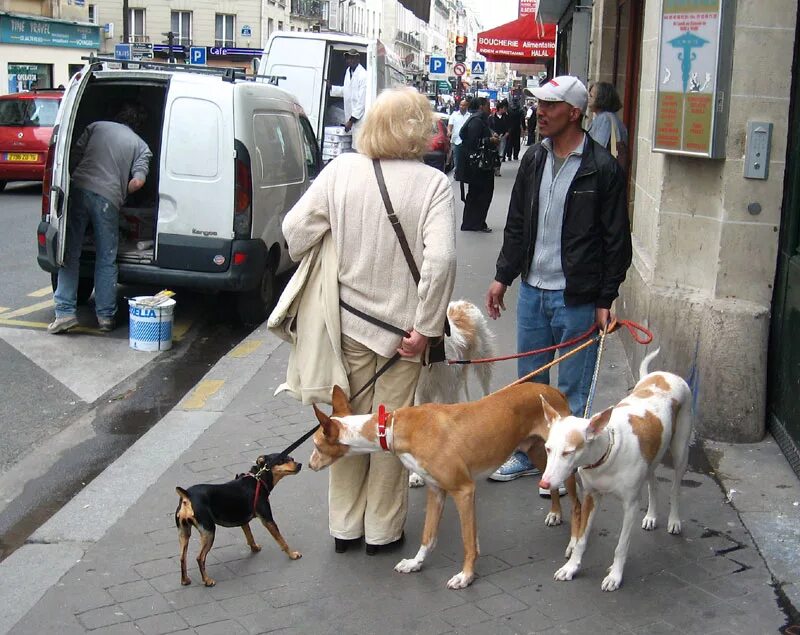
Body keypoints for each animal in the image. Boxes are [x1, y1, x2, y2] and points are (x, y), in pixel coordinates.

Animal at [176, 454, 304, 588]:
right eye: (282, 460)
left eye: (292, 458)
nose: (300, 464)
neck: (258, 479)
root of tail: (187, 496)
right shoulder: (268, 519)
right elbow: (282, 541)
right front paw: (293, 554)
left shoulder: (243, 521)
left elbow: (250, 536)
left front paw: (255, 548)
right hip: (208, 531)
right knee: (200, 558)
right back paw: (207, 580)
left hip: (184, 533)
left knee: (182, 557)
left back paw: (185, 580)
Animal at [308, 382, 580, 592]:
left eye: (317, 446)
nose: (309, 465)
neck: (393, 428)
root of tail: (553, 390)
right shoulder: (436, 491)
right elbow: (428, 536)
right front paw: (415, 563)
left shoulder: (464, 490)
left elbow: (468, 541)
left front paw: (466, 576)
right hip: (540, 454)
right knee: (552, 485)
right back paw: (555, 513)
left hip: (565, 463)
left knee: (577, 505)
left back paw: (573, 544)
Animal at [536, 348, 692, 592]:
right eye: (548, 449)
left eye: (568, 452)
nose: (544, 483)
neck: (605, 457)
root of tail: (665, 374)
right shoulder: (591, 497)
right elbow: (581, 539)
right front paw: (571, 567)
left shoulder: (630, 505)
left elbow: (622, 545)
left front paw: (615, 576)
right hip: (652, 455)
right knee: (654, 483)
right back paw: (651, 516)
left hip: (680, 450)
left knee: (675, 488)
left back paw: (674, 520)